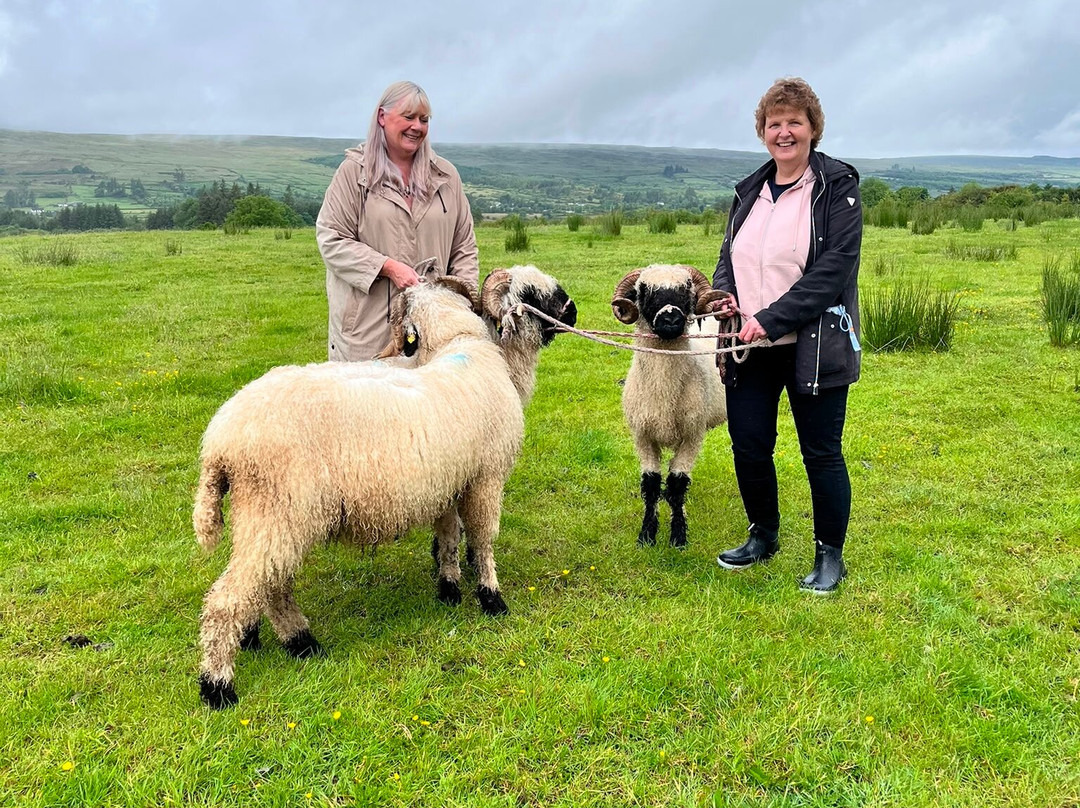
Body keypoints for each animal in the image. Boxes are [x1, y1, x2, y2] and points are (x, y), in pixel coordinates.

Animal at [193, 277, 529, 708]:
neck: (460, 344)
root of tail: (220, 440)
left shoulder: (447, 482)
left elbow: (449, 537)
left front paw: (449, 587)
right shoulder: (487, 476)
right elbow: (484, 540)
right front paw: (491, 598)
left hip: (264, 516)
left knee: (270, 586)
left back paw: (298, 643)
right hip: (280, 510)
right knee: (231, 599)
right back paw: (219, 686)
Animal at [611, 264, 728, 548]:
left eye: (687, 289)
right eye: (643, 291)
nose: (671, 321)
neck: (664, 393)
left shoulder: (692, 435)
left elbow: (677, 485)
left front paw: (678, 535)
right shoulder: (642, 437)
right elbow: (651, 485)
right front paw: (646, 535)